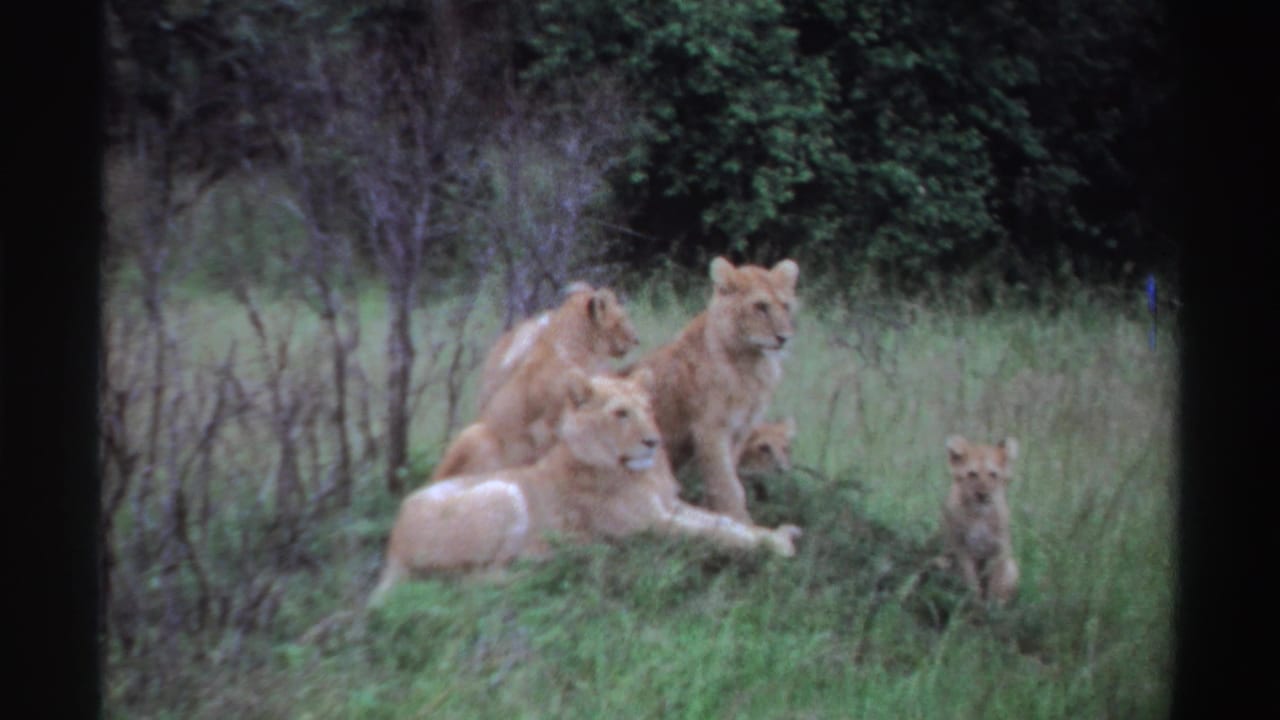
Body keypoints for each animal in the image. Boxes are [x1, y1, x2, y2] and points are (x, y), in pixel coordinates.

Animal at [369, 368, 802, 606]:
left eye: (648, 409)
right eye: (620, 413)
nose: (653, 442)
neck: (638, 472)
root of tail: (392, 545)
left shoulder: (670, 507)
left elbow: (726, 523)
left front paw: (777, 532)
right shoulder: (649, 526)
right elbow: (715, 535)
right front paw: (776, 546)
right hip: (504, 494)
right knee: (469, 581)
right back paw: (554, 564)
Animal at [625, 257, 798, 523]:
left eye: (786, 306)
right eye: (760, 306)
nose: (784, 338)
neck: (752, 364)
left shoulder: (739, 431)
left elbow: (727, 481)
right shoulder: (710, 430)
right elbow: (728, 486)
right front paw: (741, 523)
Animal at [940, 435, 1020, 607]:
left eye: (993, 474)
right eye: (972, 474)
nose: (983, 494)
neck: (980, 514)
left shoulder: (1000, 549)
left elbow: (996, 583)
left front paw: (991, 606)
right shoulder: (961, 546)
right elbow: (971, 580)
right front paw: (974, 602)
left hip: (1012, 565)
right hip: (945, 560)